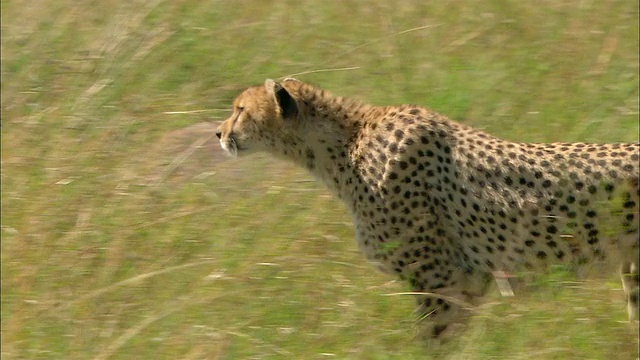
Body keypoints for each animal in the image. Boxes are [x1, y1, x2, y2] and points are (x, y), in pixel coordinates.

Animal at [216, 79, 640, 340]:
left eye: (240, 109)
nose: (218, 133)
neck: (348, 144)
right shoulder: (460, 282)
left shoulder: (444, 280)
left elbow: (434, 342)